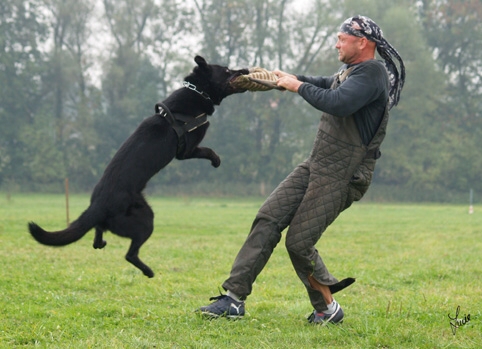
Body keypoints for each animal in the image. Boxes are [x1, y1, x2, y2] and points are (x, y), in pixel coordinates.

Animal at [28, 55, 249, 276]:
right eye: (227, 70)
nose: (246, 70)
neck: (196, 91)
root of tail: (97, 205)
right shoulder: (185, 151)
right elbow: (206, 150)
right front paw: (216, 160)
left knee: (98, 233)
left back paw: (102, 242)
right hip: (145, 219)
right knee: (130, 254)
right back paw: (148, 271)